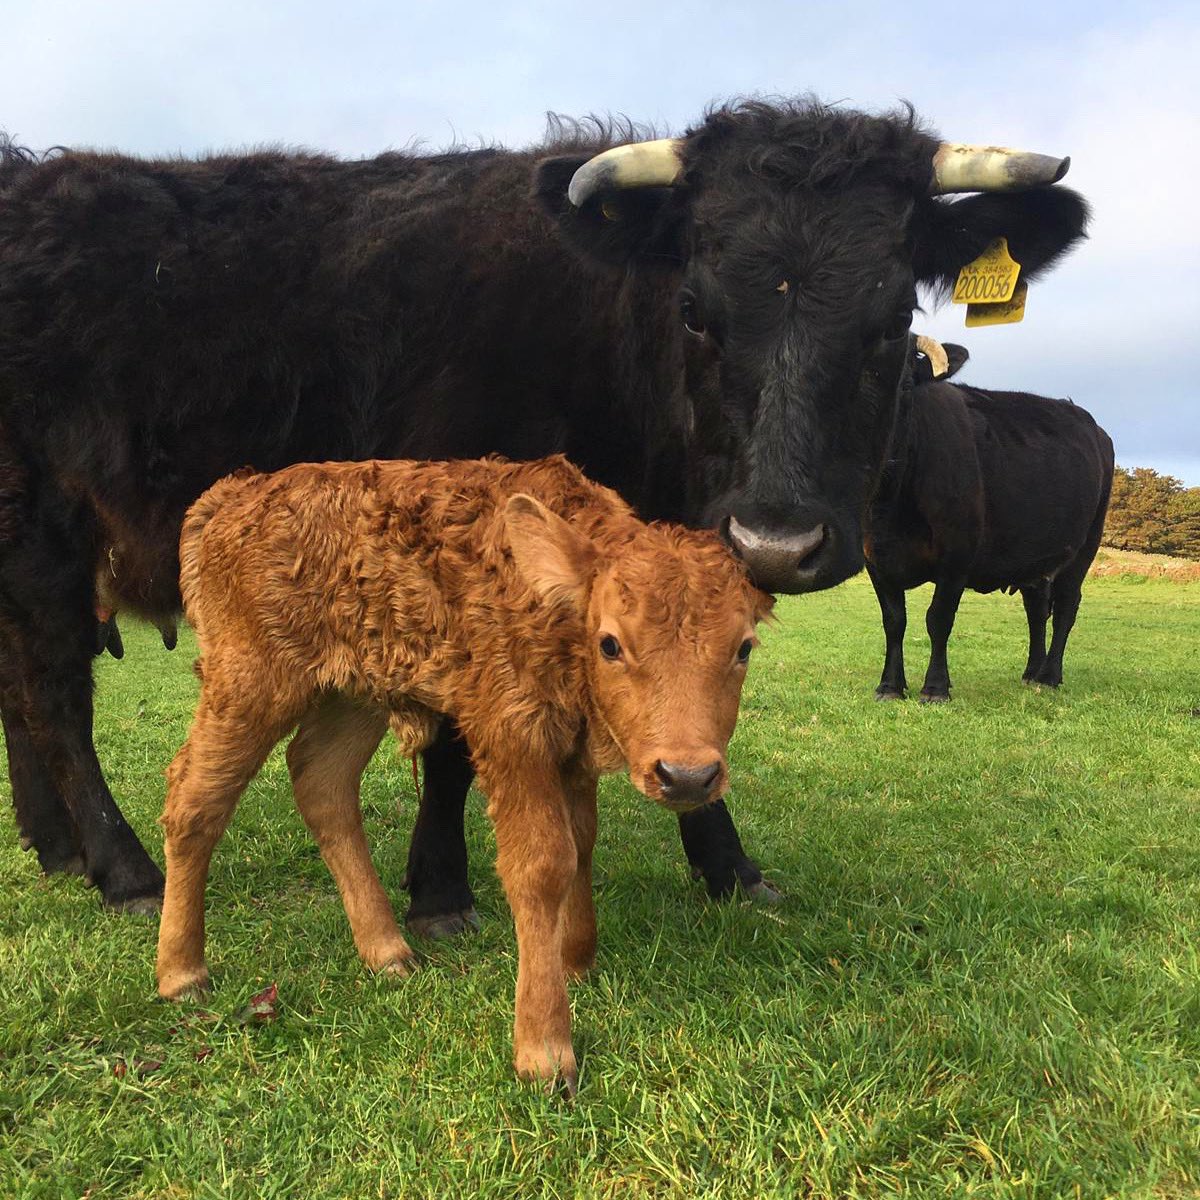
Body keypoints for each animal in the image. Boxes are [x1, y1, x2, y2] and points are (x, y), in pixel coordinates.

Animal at [0, 100, 1089, 917]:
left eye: (893, 316)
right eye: (694, 310)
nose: (776, 539)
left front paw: (729, 867)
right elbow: (452, 739)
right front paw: (441, 892)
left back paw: (56, 851)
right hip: (42, 536)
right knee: (54, 695)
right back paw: (124, 869)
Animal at [156, 454, 773, 1095]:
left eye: (744, 648)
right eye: (610, 643)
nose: (687, 775)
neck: (553, 605)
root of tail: (231, 497)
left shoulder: (572, 751)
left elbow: (581, 842)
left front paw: (575, 960)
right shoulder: (511, 735)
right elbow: (543, 862)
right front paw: (545, 1049)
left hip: (352, 693)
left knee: (320, 780)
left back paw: (388, 952)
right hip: (249, 683)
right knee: (195, 799)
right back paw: (182, 973)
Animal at [865, 342, 1114, 701]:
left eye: (905, 386)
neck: (891, 510)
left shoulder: (957, 554)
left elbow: (938, 618)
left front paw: (936, 687)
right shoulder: (874, 557)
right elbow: (894, 621)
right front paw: (890, 686)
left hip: (1085, 547)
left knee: (1066, 607)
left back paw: (1049, 676)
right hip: (1034, 556)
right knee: (1037, 609)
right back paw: (1032, 671)